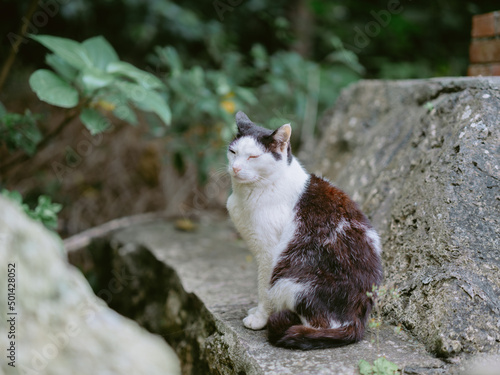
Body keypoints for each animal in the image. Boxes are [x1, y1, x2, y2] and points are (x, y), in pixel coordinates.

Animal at [227, 111, 382, 350]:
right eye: (233, 152)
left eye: (253, 157)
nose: (235, 168)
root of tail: (358, 320)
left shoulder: (269, 254)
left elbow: (263, 289)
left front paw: (260, 317)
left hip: (292, 281)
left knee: (317, 325)